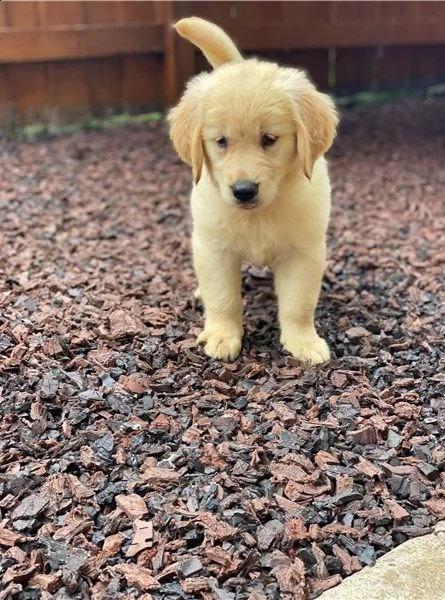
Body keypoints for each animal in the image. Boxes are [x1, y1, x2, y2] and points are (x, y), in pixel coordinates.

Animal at [168, 18, 338, 364]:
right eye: (221, 141)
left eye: (269, 139)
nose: (243, 190)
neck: (259, 213)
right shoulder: (214, 250)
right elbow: (223, 297)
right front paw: (222, 336)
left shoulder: (304, 252)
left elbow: (298, 304)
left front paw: (303, 342)